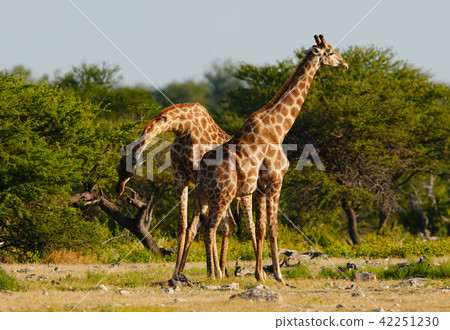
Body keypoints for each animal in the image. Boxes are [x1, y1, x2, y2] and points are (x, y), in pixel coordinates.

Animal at [115, 102, 256, 278]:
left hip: (242, 193)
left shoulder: (198, 177)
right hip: (223, 194)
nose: (118, 189)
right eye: (118, 169)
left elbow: (196, 226)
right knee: (228, 223)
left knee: (247, 224)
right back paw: (222, 271)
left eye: (125, 171)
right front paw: (177, 272)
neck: (184, 129)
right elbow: (183, 225)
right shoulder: (179, 175)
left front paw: (202, 272)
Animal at [190, 35, 348, 282]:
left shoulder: (259, 189)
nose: (345, 64)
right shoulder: (275, 183)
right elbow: (273, 228)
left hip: (203, 197)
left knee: (199, 227)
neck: (279, 129)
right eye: (330, 51)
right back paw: (214, 276)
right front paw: (278, 275)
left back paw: (209, 273)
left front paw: (260, 275)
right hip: (223, 196)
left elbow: (260, 228)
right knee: (211, 228)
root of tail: (201, 172)